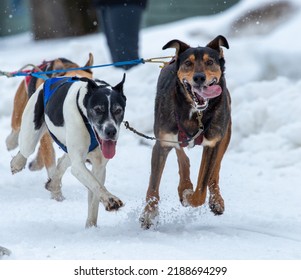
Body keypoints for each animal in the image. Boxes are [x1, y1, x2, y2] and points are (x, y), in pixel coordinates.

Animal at [10, 75, 125, 228]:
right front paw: (110, 199)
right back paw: (17, 163)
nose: (111, 131)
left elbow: (95, 193)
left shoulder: (99, 167)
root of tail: (48, 81)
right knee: (25, 150)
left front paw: (91, 226)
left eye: (118, 110)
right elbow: (96, 185)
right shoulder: (79, 165)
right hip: (31, 134)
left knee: (63, 161)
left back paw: (54, 183)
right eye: (98, 109)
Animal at [139, 35, 231, 229]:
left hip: (225, 135)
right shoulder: (162, 142)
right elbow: (153, 187)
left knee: (215, 171)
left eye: (210, 62)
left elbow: (201, 189)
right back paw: (184, 185)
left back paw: (215, 199)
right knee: (182, 156)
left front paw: (190, 196)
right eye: (188, 63)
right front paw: (149, 214)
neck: (196, 113)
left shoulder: (213, 143)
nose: (199, 77)